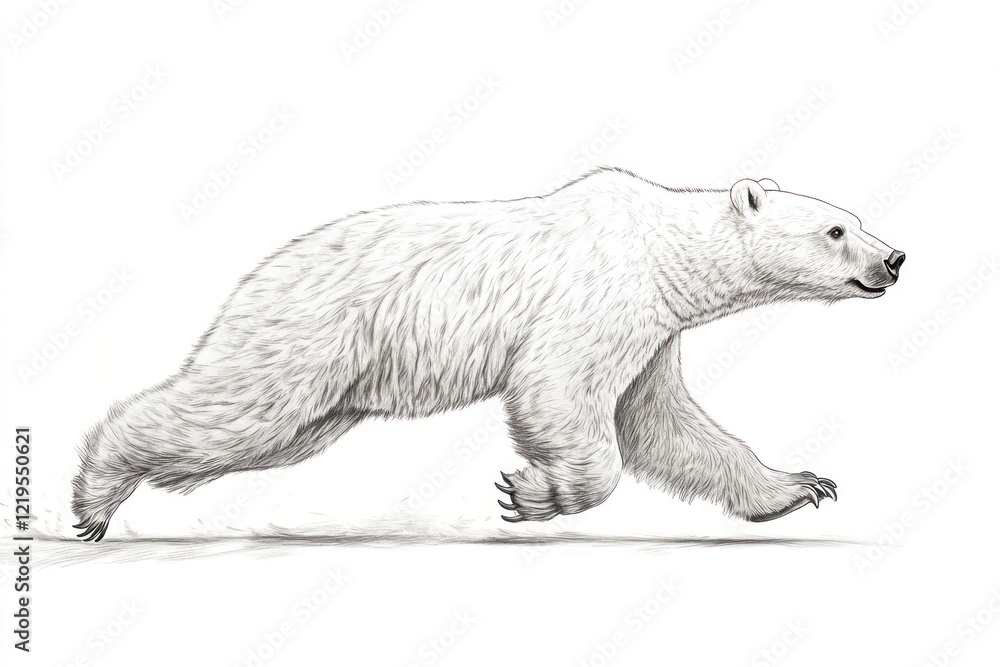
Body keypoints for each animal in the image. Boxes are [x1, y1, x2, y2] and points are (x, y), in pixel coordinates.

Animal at [72, 167, 905, 541]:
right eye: (836, 229)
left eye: (854, 218)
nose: (895, 259)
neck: (664, 249)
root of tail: (258, 274)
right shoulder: (598, 295)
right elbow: (560, 391)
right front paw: (534, 494)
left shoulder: (652, 329)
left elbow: (663, 424)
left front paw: (800, 485)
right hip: (312, 333)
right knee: (236, 408)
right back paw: (94, 494)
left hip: (334, 387)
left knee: (263, 439)